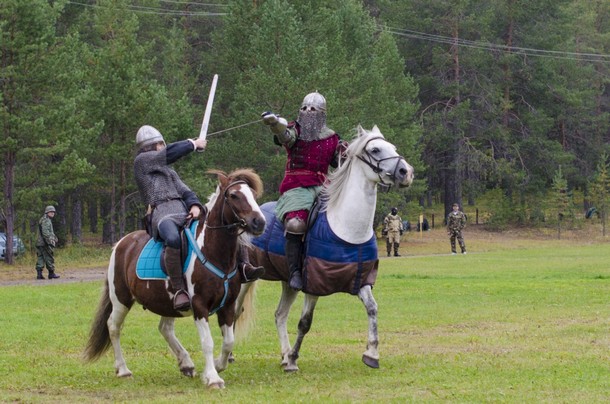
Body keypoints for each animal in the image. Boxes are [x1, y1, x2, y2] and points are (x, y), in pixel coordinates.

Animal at [84, 168, 264, 388]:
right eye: (234, 195)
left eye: (253, 195)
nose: (259, 222)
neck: (213, 251)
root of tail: (121, 243)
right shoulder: (200, 306)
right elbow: (207, 342)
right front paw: (213, 378)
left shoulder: (228, 305)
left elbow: (229, 341)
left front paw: (216, 366)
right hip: (121, 299)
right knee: (114, 327)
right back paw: (123, 369)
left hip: (169, 302)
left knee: (165, 329)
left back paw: (186, 363)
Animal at [234, 124, 414, 370]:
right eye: (375, 150)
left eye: (393, 147)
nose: (407, 172)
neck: (346, 228)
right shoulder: (313, 286)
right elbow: (305, 322)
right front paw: (294, 358)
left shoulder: (361, 281)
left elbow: (372, 308)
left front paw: (372, 354)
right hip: (248, 277)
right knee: (235, 310)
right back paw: (231, 355)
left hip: (288, 281)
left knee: (280, 314)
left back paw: (284, 355)